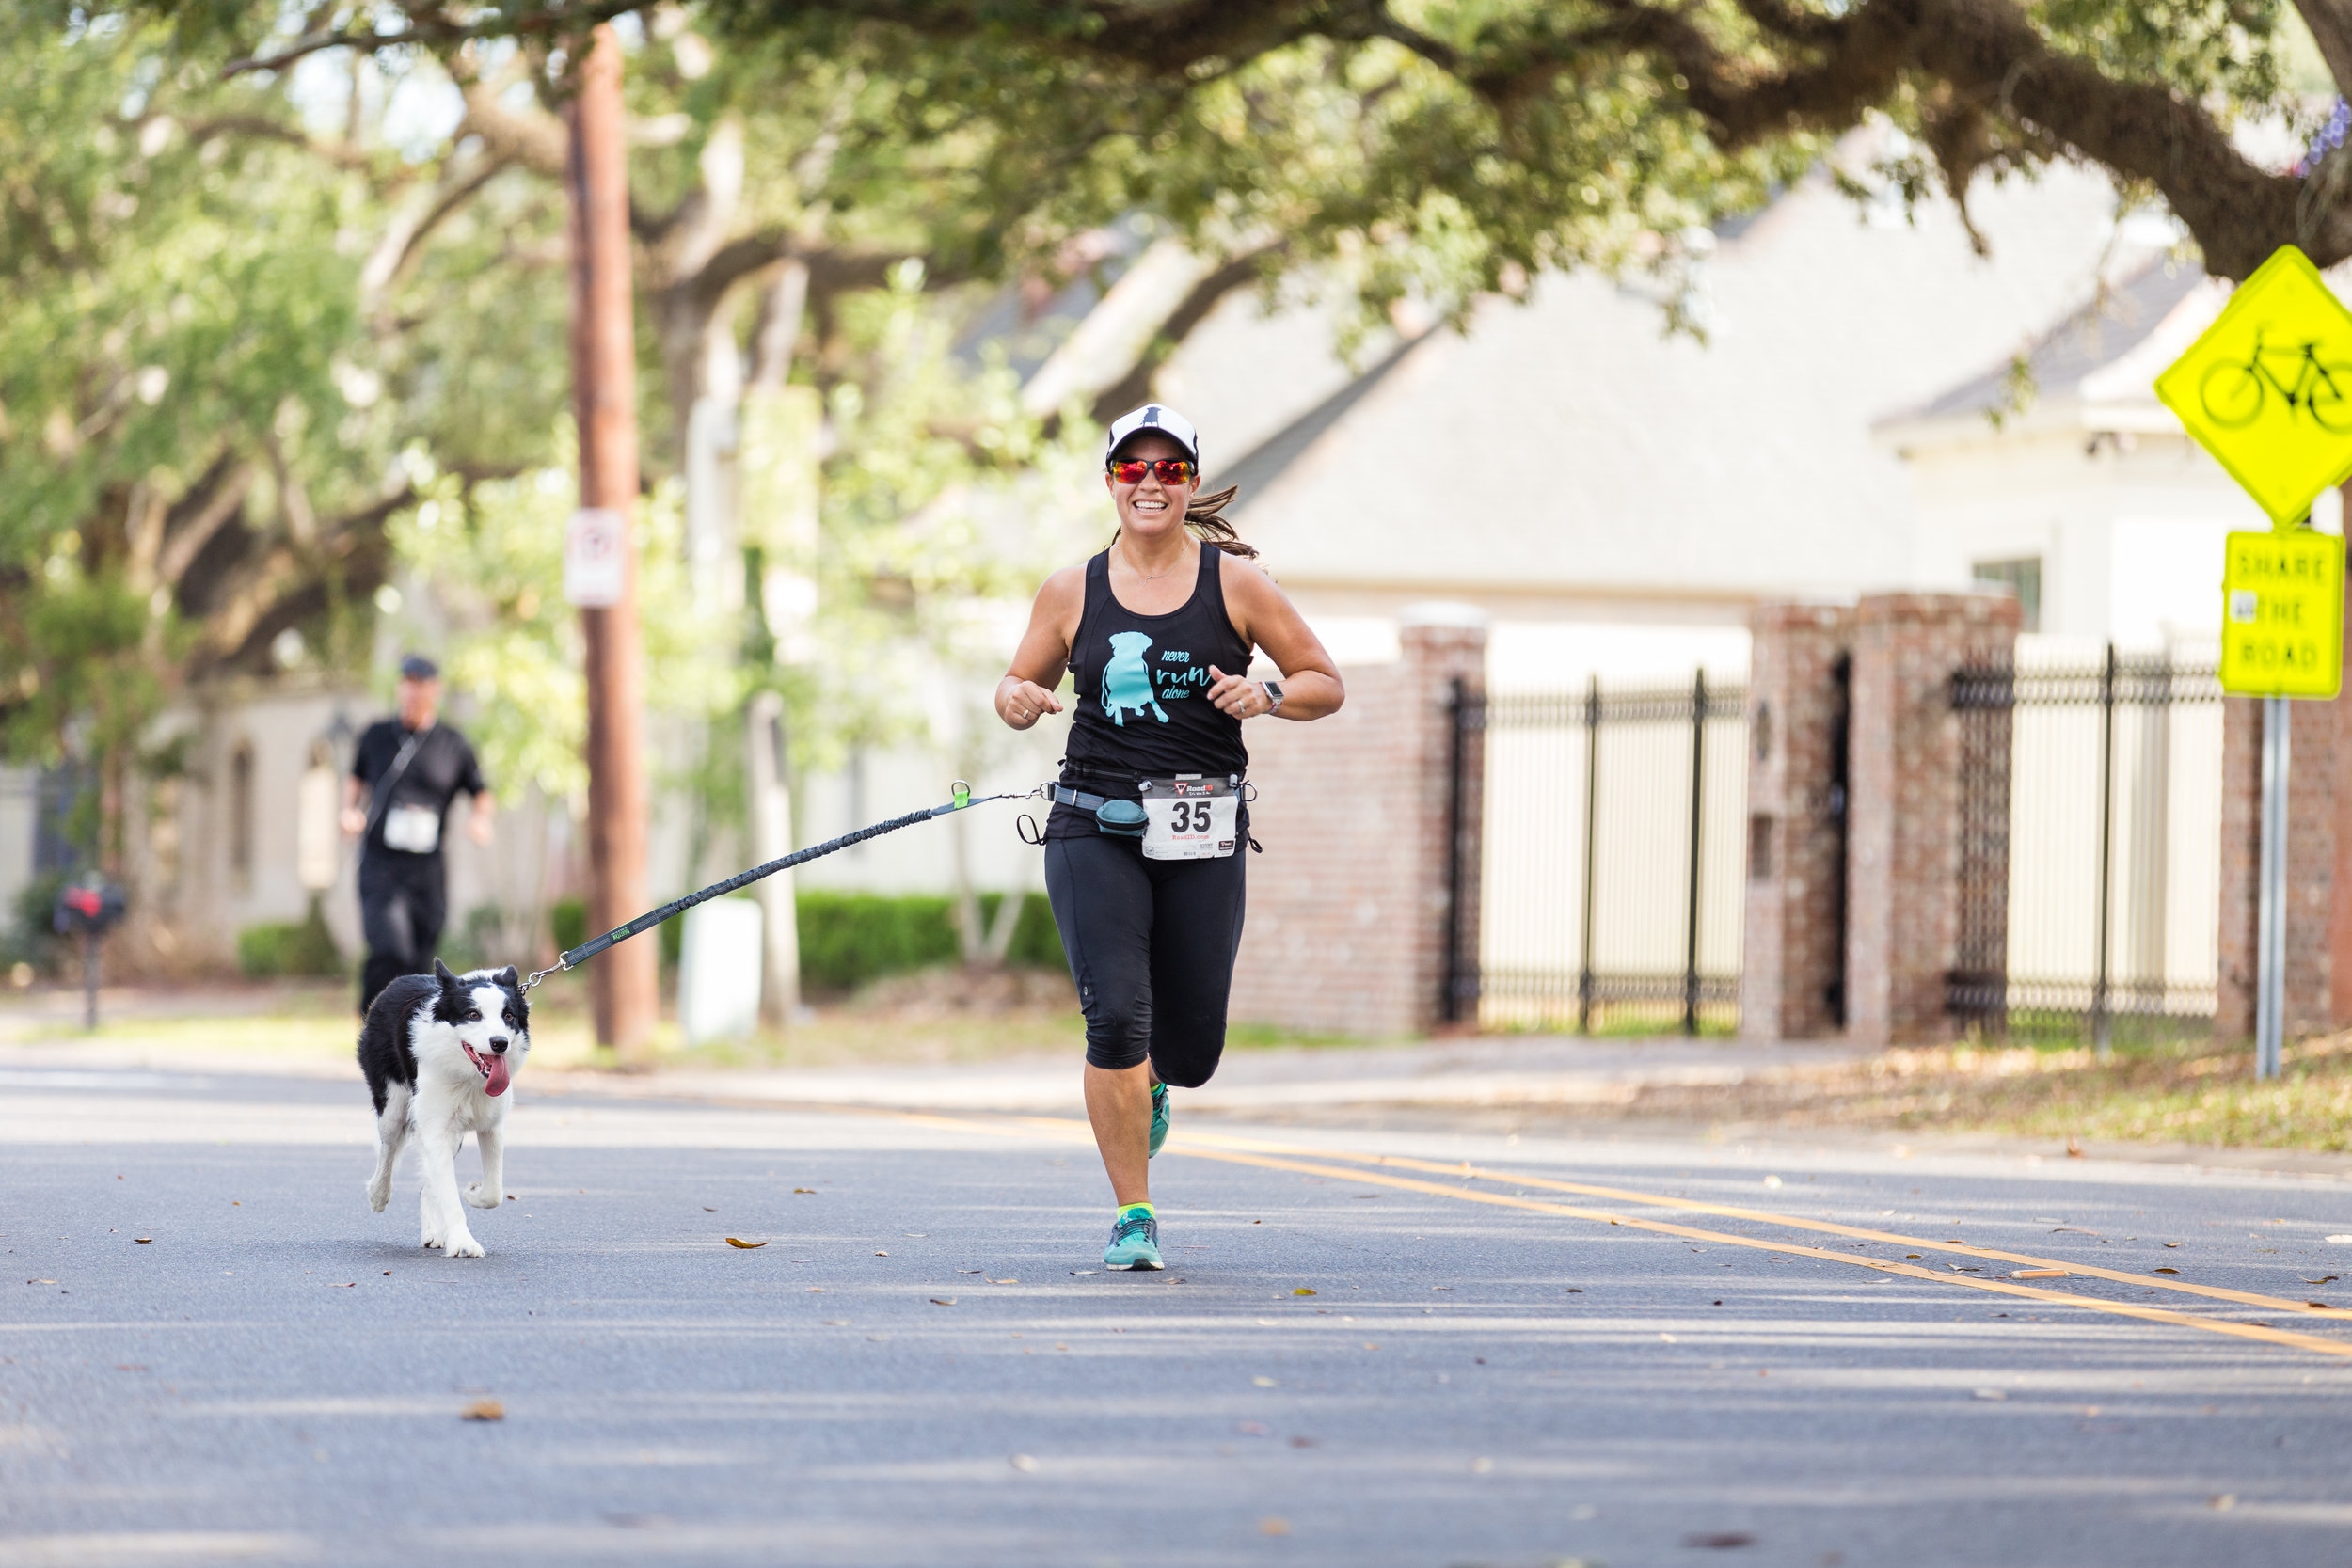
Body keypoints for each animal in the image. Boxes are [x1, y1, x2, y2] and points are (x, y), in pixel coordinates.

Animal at [358, 958, 533, 1259]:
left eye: (509, 1016)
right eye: (473, 1014)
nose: (500, 1043)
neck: (469, 1078)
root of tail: (398, 981)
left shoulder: (491, 1126)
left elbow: (494, 1193)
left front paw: (473, 1192)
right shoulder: (435, 1125)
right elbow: (449, 1192)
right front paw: (463, 1242)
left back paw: (433, 1233)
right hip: (393, 1105)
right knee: (388, 1148)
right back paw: (378, 1194)